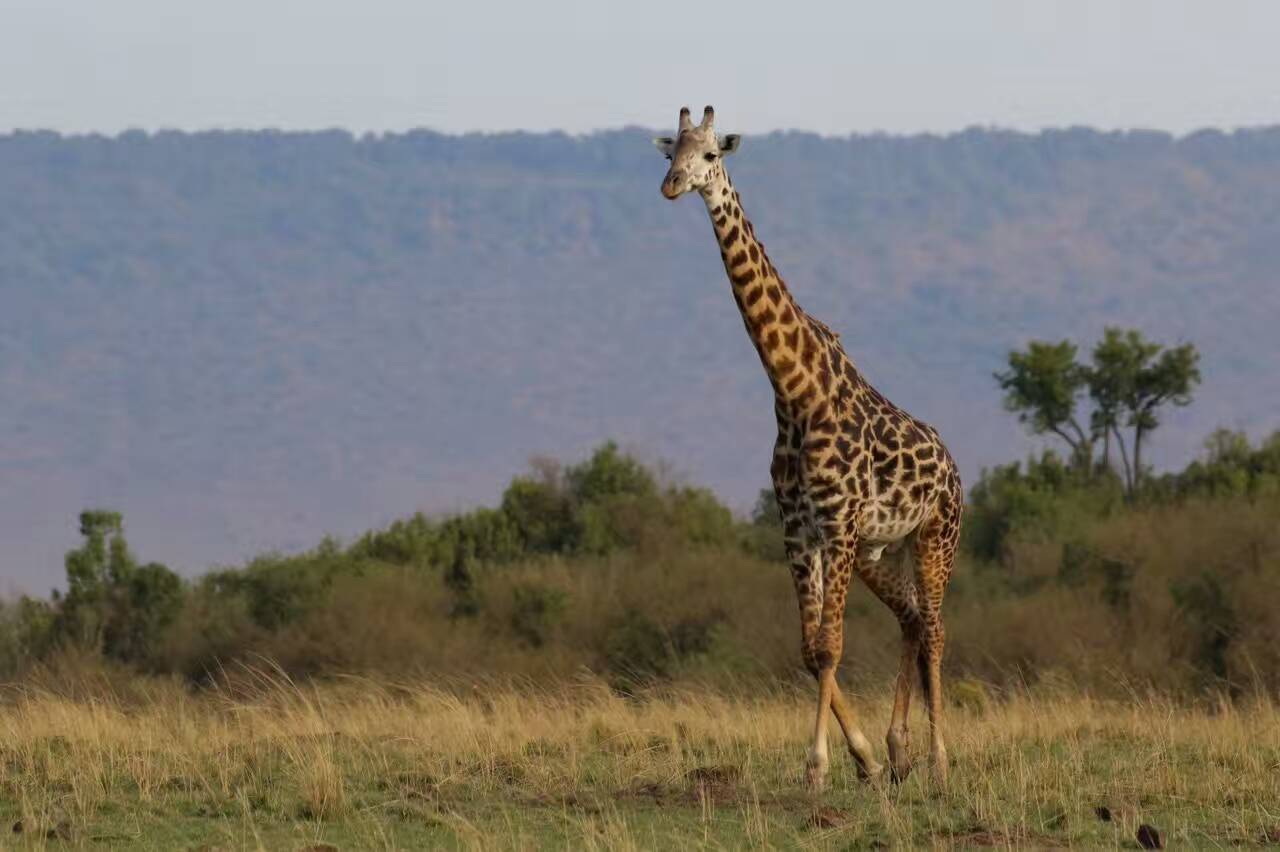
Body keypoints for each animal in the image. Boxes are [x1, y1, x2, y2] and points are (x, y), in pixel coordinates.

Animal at [655, 108, 962, 788]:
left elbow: (832, 645)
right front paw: (863, 757)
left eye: (712, 154)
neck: (794, 390)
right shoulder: (798, 527)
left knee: (934, 628)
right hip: (880, 550)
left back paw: (938, 759)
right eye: (670, 151)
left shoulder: (838, 524)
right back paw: (898, 751)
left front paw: (818, 765)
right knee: (909, 618)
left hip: (935, 536)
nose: (672, 186)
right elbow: (810, 648)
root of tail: (955, 468)